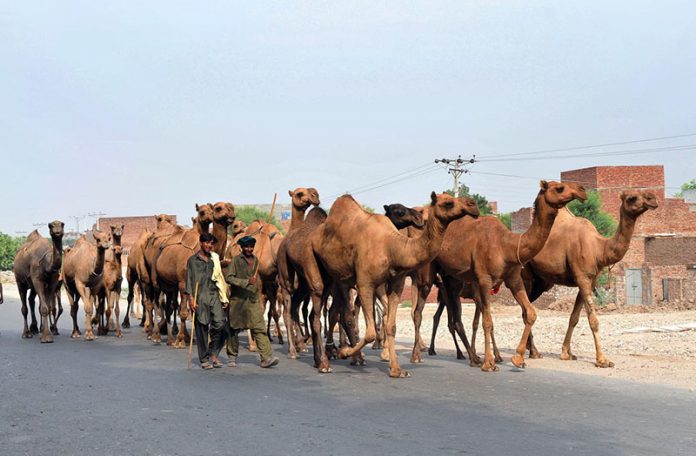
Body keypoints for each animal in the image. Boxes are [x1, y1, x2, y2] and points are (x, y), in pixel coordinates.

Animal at [307, 192, 479, 377]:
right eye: (448, 203)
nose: (473, 205)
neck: (392, 247)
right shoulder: (366, 283)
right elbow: (370, 332)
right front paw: (344, 352)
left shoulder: (397, 283)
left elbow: (391, 325)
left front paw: (396, 369)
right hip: (324, 271)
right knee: (324, 314)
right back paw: (326, 361)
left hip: (339, 280)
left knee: (333, 312)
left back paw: (333, 354)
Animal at [434, 181, 586, 371]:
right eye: (559, 188)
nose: (582, 190)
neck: (508, 246)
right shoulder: (484, 280)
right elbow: (487, 322)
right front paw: (489, 363)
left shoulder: (513, 278)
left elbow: (530, 313)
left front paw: (518, 358)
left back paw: (468, 356)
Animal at [517, 189, 659, 368]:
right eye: (631, 198)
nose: (653, 199)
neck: (599, 248)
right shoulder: (583, 278)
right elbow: (593, 320)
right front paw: (602, 360)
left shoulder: (588, 281)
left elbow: (574, 318)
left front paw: (566, 353)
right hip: (526, 276)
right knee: (525, 310)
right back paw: (533, 352)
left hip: (542, 282)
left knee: (526, 308)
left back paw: (532, 351)